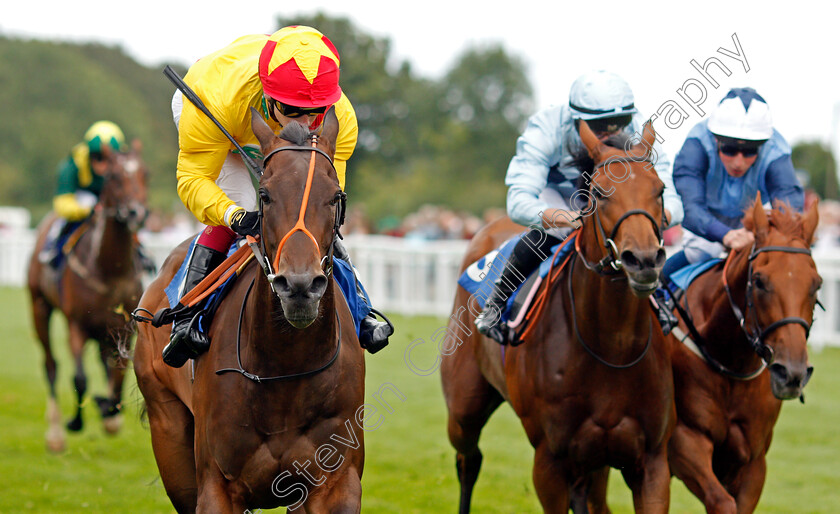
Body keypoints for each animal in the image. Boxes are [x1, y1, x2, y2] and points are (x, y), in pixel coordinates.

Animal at [26, 140, 149, 448]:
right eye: (114, 176)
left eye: (146, 174)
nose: (137, 213)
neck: (110, 270)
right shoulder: (77, 324)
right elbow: (79, 378)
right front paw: (75, 421)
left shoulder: (125, 328)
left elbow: (119, 374)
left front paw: (109, 411)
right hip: (39, 306)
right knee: (51, 364)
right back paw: (55, 433)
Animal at [134, 106, 364, 510]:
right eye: (265, 195)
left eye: (335, 196)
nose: (299, 286)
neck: (286, 369)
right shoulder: (216, 485)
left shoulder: (336, 482)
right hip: (169, 432)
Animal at [442, 121, 680, 512]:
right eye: (599, 192)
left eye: (659, 189)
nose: (643, 260)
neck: (612, 348)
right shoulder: (549, 461)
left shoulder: (651, 461)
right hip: (464, 408)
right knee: (468, 460)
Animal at [668, 197, 824, 512]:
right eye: (760, 281)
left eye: (817, 284)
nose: (792, 373)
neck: (730, 359)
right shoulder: (684, 439)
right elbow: (722, 502)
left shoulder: (753, 459)